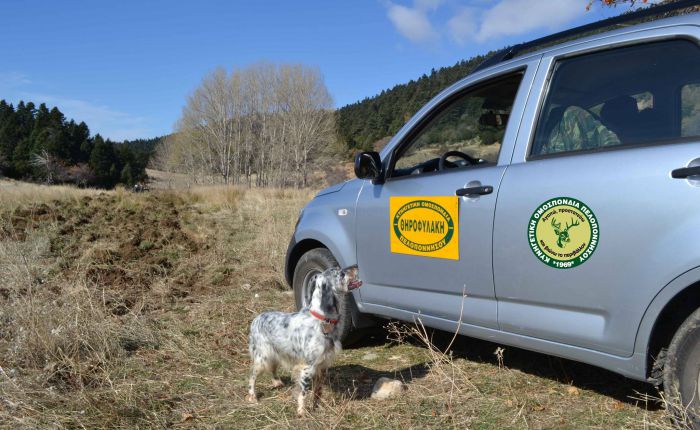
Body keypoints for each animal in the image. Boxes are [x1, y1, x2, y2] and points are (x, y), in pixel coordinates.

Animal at [247, 268, 360, 414]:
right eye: (340, 273)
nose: (356, 266)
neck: (322, 320)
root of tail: (256, 318)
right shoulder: (307, 367)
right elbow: (303, 392)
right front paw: (302, 411)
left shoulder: (322, 365)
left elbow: (318, 391)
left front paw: (316, 407)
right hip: (262, 356)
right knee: (252, 376)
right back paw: (252, 396)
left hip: (275, 352)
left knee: (273, 368)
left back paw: (277, 382)